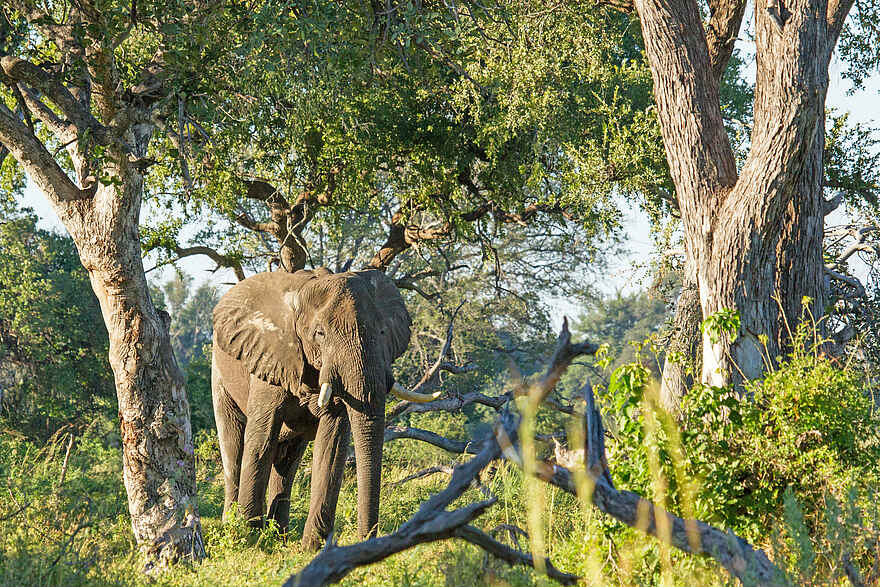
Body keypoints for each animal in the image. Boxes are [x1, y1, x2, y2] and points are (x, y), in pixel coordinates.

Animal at [211, 267, 437, 550]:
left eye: (383, 332)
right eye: (319, 333)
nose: (367, 539)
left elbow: (332, 443)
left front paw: (312, 548)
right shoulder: (270, 358)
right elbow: (261, 438)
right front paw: (250, 540)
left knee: (287, 460)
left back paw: (279, 536)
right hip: (219, 373)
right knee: (233, 447)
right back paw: (235, 529)